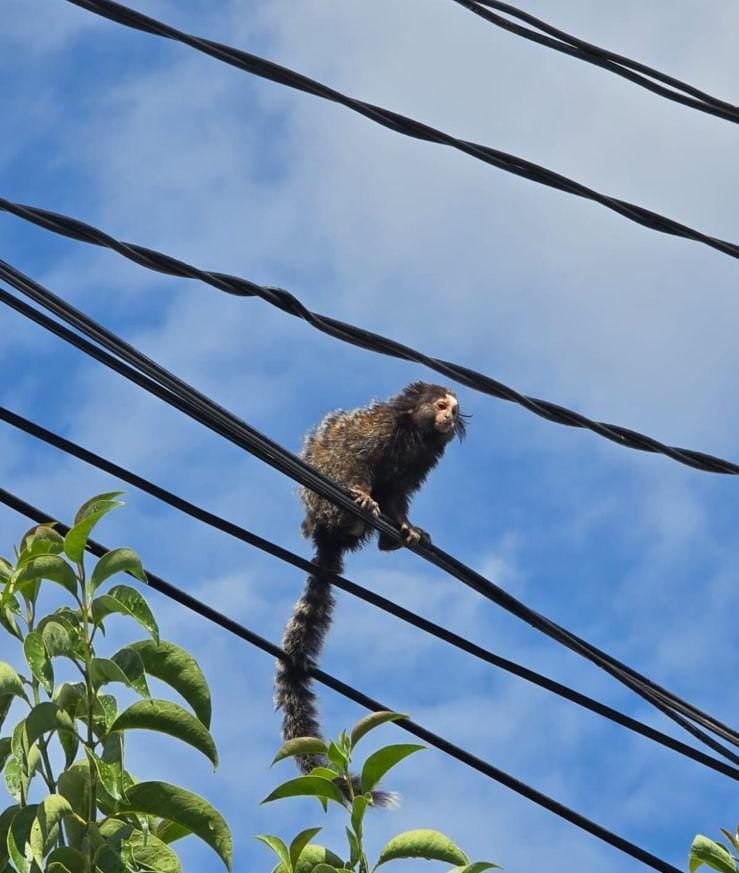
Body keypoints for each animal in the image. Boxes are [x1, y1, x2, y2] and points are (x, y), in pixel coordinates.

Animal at [273, 382, 466, 799]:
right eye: (440, 405)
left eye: (454, 411)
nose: (448, 417)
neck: (414, 433)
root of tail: (325, 537)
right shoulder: (374, 434)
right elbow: (354, 460)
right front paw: (363, 494)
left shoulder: (419, 462)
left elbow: (398, 494)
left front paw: (406, 527)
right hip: (323, 506)